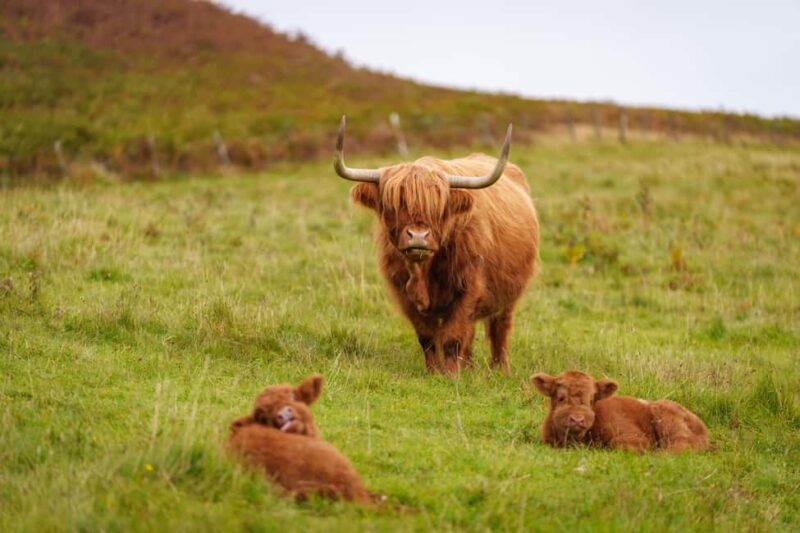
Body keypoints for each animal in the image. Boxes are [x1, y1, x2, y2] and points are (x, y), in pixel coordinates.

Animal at [334, 116, 539, 373]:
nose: (418, 236)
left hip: (509, 293)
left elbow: (453, 336)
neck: (422, 272)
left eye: (438, 207)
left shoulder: (469, 288)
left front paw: (450, 374)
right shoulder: (404, 294)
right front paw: (434, 372)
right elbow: (428, 337)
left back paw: (499, 368)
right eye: (394, 204)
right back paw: (469, 367)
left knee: (500, 327)